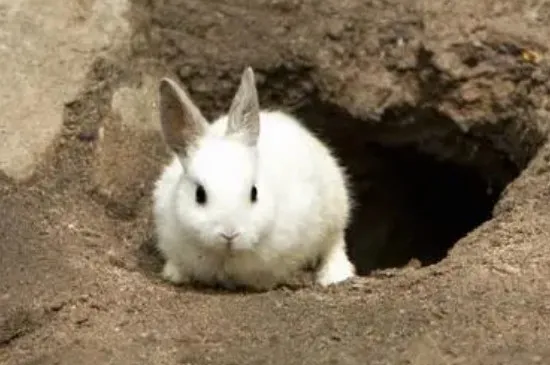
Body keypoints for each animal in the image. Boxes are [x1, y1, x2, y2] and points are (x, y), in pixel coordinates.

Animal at [152, 66, 358, 290]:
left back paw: (334, 275)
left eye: (254, 192)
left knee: (335, 245)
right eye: (199, 194)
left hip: (335, 211)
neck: (226, 257)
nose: (229, 234)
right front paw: (174, 275)